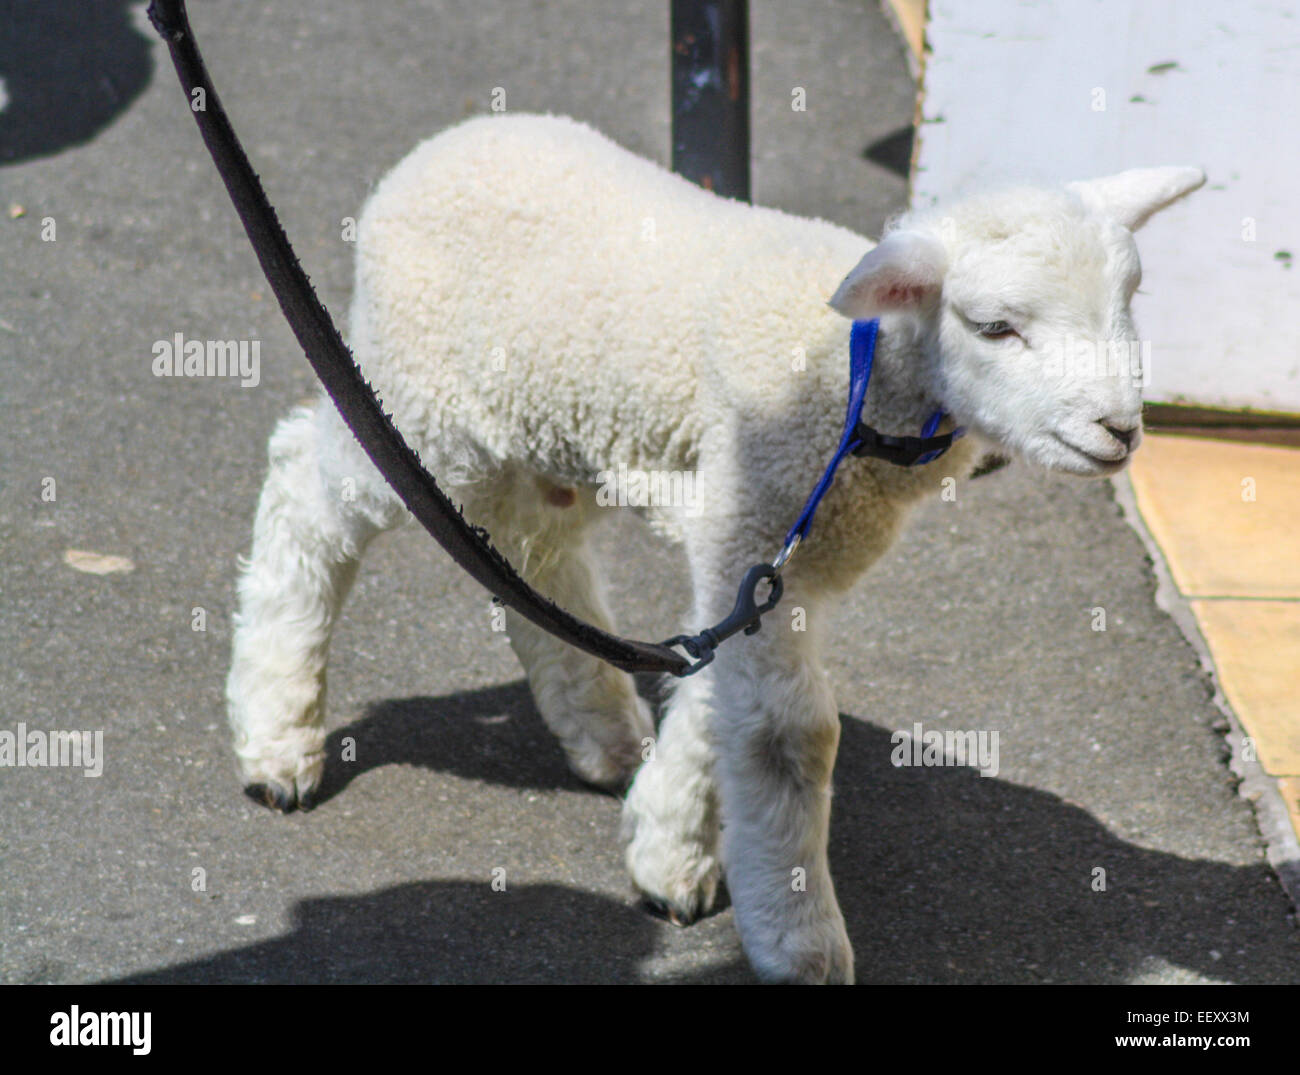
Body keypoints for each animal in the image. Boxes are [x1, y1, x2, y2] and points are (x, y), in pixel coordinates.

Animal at [226, 111, 1206, 982]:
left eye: (1128, 302)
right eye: (997, 327)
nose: (1120, 430)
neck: (855, 390)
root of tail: (440, 147)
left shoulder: (770, 559)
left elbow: (714, 693)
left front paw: (667, 845)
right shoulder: (753, 519)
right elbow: (790, 736)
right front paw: (799, 942)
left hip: (544, 425)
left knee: (534, 548)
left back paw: (604, 729)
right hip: (417, 400)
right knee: (305, 488)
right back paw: (278, 739)